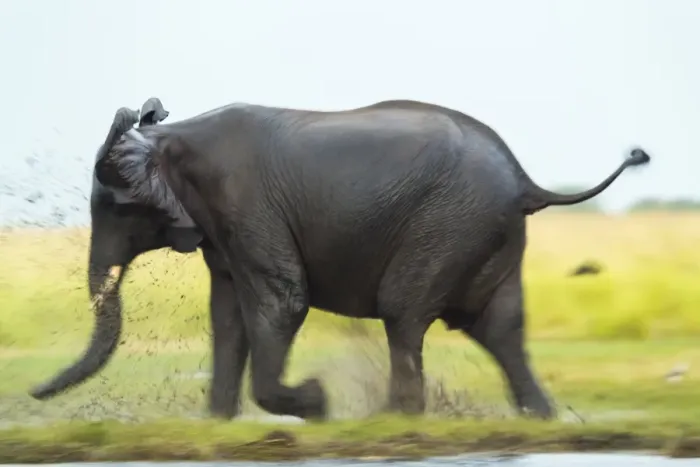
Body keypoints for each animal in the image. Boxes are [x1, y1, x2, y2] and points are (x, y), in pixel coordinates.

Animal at [29, 99, 651, 421]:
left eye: (114, 209)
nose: (34, 393)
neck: (170, 137)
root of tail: (525, 179)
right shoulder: (221, 230)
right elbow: (227, 316)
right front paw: (217, 426)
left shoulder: (243, 201)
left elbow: (282, 301)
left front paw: (318, 403)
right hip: (487, 232)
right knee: (499, 326)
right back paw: (537, 418)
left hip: (449, 224)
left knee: (404, 312)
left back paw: (396, 418)